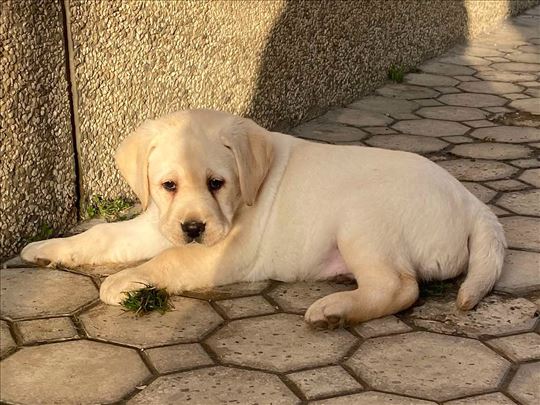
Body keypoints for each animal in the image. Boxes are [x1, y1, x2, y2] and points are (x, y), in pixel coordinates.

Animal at [21, 109, 508, 326]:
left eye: (217, 183)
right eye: (168, 185)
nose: (193, 228)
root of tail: (472, 203)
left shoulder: (219, 252)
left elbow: (168, 261)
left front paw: (122, 281)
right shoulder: (157, 221)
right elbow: (102, 235)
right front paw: (45, 249)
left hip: (362, 222)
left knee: (400, 287)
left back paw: (333, 311)